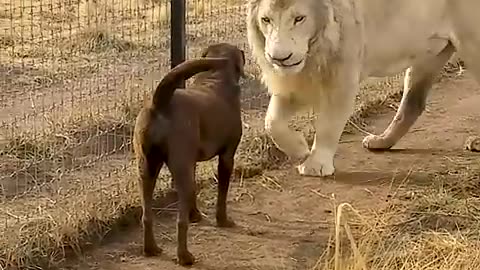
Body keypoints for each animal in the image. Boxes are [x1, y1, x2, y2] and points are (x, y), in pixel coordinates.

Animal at [133, 42, 246, 266]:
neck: (215, 78)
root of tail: (160, 102)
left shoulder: (191, 162)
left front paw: (195, 214)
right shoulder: (227, 157)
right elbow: (222, 195)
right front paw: (223, 220)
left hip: (146, 169)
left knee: (147, 215)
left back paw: (151, 249)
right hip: (178, 169)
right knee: (180, 222)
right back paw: (185, 256)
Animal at [248, 0, 480, 177]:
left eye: (299, 18)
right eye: (266, 20)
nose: (279, 58)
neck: (315, 49)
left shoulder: (342, 78)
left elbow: (328, 125)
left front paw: (316, 165)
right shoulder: (297, 81)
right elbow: (272, 123)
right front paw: (299, 149)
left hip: (471, 45)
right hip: (428, 54)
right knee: (412, 104)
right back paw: (381, 142)